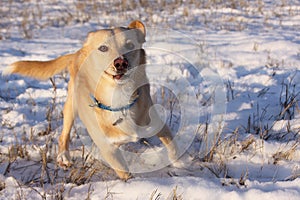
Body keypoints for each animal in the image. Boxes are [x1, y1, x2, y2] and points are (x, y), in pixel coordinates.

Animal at [2, 21, 179, 180]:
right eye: (103, 48)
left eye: (130, 45)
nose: (121, 62)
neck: (119, 98)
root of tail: (78, 52)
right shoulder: (109, 149)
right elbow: (125, 174)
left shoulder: (157, 123)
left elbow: (171, 144)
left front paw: (179, 163)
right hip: (71, 106)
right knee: (64, 135)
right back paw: (64, 157)